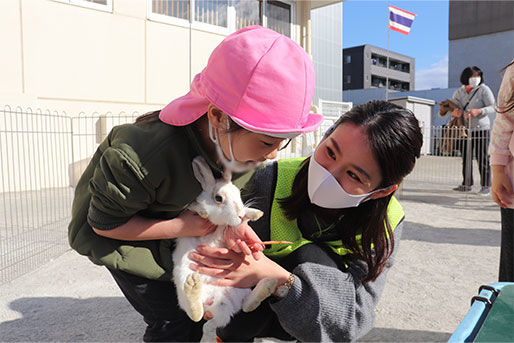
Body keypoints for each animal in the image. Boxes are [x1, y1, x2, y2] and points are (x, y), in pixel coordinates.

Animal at [171, 156, 276, 328]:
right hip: (182, 285)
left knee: (246, 306)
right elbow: (196, 208)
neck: (219, 225)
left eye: (238, 193)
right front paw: (203, 212)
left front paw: (255, 214)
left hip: (241, 287)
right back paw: (193, 286)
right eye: (219, 198)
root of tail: (217, 306)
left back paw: (268, 285)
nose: (239, 215)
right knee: (196, 315)